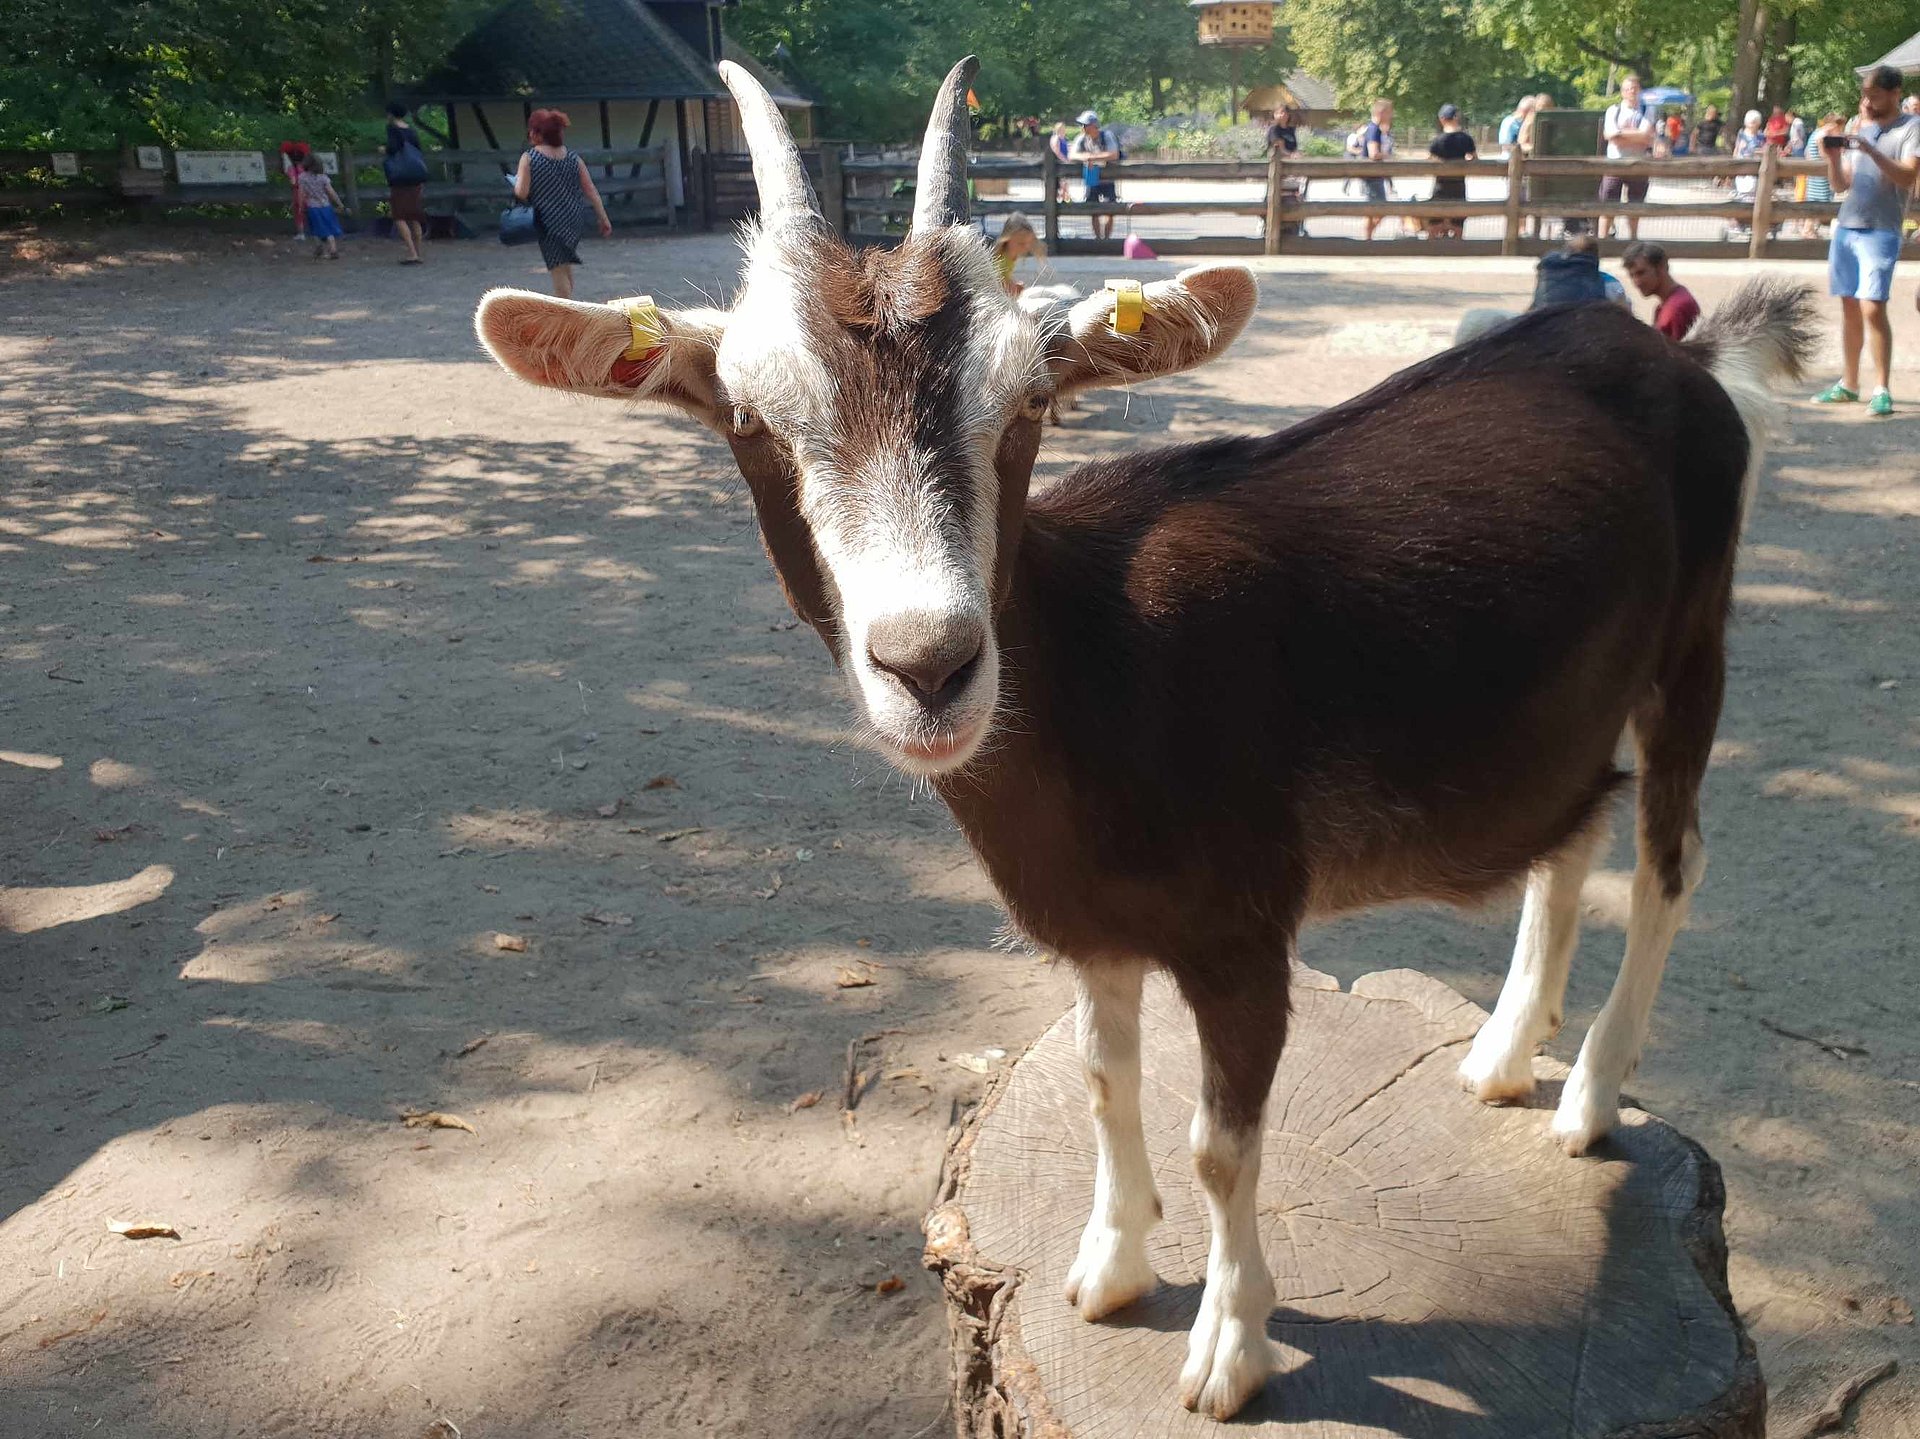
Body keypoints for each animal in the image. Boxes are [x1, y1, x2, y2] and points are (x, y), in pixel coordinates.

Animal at [476, 58, 1812, 1429]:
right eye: (747, 417)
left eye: (1030, 406)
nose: (930, 664)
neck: (1107, 662)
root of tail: (1679, 351)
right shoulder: (1090, 922)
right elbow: (1102, 1078)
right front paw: (1110, 1269)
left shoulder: (1245, 930)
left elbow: (1222, 1142)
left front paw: (1231, 1348)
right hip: (1565, 701)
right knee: (1573, 827)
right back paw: (1500, 1055)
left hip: (1694, 643)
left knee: (1670, 861)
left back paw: (1587, 1097)